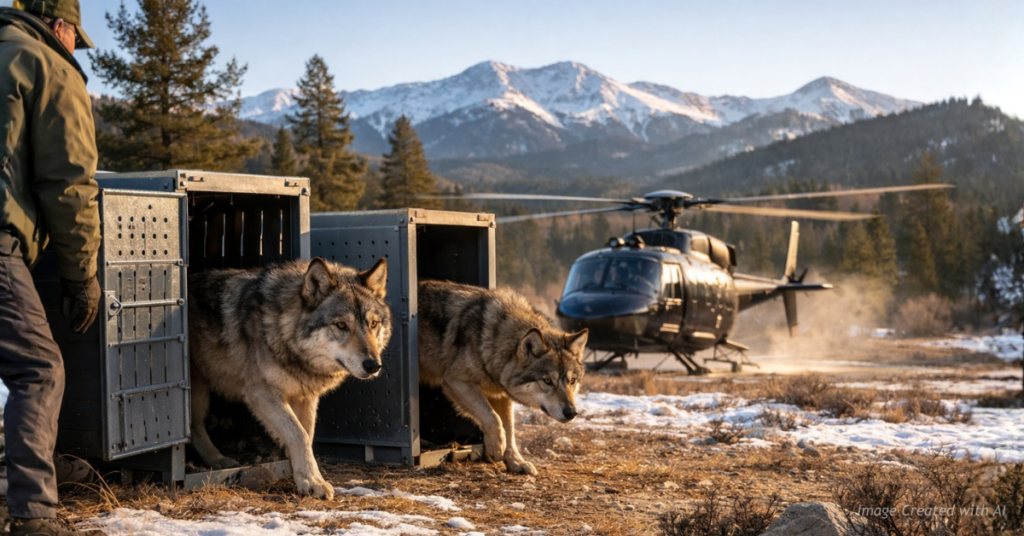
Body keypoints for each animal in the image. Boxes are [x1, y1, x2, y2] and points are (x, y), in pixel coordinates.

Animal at [187, 258, 391, 499]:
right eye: (341, 325)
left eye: (373, 324)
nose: (373, 365)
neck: (284, 330)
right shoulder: (261, 393)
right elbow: (298, 435)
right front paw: (311, 481)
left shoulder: (306, 397)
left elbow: (307, 436)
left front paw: (303, 475)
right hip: (197, 392)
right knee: (194, 427)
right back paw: (218, 460)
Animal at [418, 280, 588, 475]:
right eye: (547, 381)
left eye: (572, 381)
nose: (572, 413)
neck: (493, 339)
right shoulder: (457, 382)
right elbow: (493, 419)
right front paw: (496, 447)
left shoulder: (501, 395)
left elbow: (510, 429)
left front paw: (516, 461)